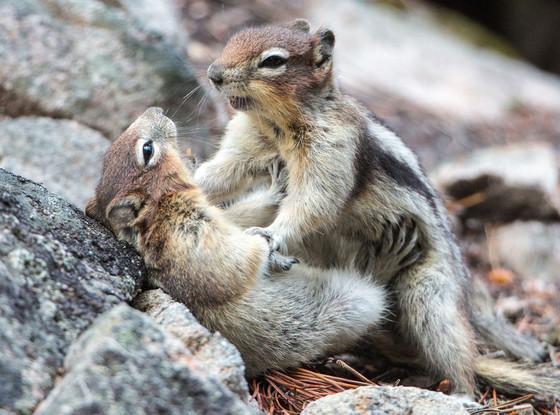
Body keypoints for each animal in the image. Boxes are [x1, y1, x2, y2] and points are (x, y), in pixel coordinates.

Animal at [84, 108, 424, 380]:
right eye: (147, 149)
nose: (155, 109)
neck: (162, 206)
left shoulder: (216, 215)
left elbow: (237, 217)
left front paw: (276, 189)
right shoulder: (190, 233)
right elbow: (239, 262)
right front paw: (269, 249)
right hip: (353, 303)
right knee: (375, 287)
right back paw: (388, 256)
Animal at [192, 18, 556, 396]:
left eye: (273, 61)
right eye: (234, 39)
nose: (213, 74)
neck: (275, 123)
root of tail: (463, 286)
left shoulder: (333, 152)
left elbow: (314, 202)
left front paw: (270, 234)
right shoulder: (246, 142)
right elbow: (221, 173)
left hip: (430, 293)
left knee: (455, 352)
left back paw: (459, 391)